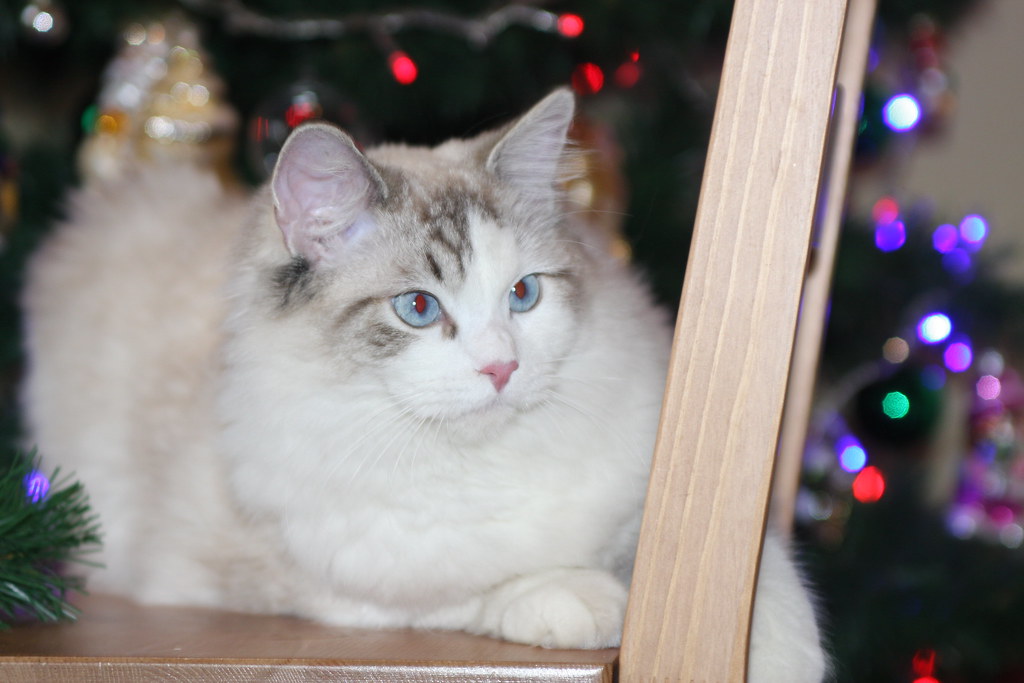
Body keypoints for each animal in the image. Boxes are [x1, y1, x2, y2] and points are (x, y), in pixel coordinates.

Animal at [19, 89, 827, 679]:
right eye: (417, 308)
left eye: (524, 294)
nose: (502, 367)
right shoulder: (300, 572)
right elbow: (459, 587)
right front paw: (587, 601)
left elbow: (765, 585)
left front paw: (783, 655)